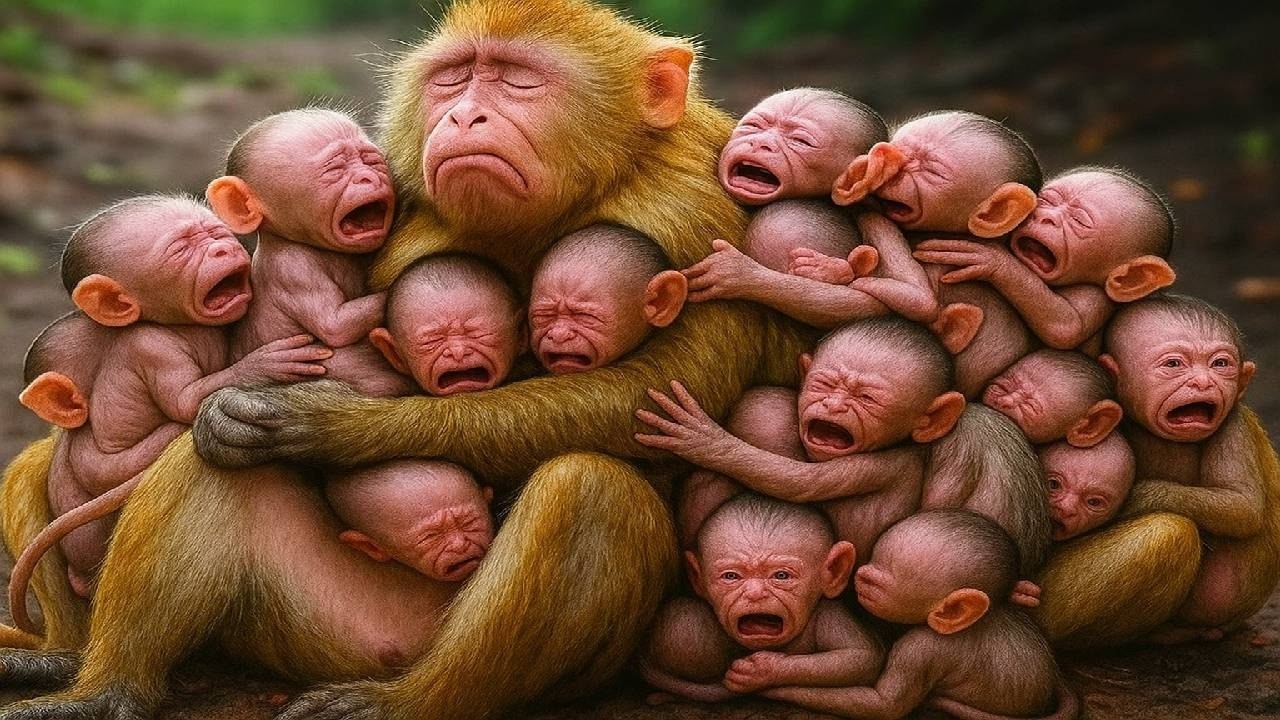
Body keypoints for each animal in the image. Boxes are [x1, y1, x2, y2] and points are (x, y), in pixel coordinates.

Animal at [637, 317, 1051, 575]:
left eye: (867, 398)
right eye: (824, 383)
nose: (835, 406)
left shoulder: (882, 465)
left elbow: (798, 481)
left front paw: (707, 441)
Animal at [641, 494, 883, 705]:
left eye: (781, 575)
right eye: (731, 576)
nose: (755, 593)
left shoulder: (830, 614)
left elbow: (858, 657)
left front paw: (762, 671)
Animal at [913, 166, 1177, 351]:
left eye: (1079, 221)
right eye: (1048, 201)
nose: (1045, 218)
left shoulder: (1098, 295)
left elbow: (1068, 325)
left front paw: (993, 260)